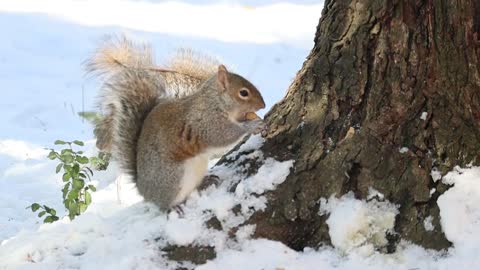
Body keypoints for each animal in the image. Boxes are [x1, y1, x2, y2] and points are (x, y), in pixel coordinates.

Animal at [86, 35, 266, 209]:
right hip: (174, 177)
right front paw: (252, 126)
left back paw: (205, 182)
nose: (263, 105)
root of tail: (143, 190)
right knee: (164, 203)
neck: (216, 101)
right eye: (243, 93)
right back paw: (172, 207)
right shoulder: (205, 122)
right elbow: (222, 135)